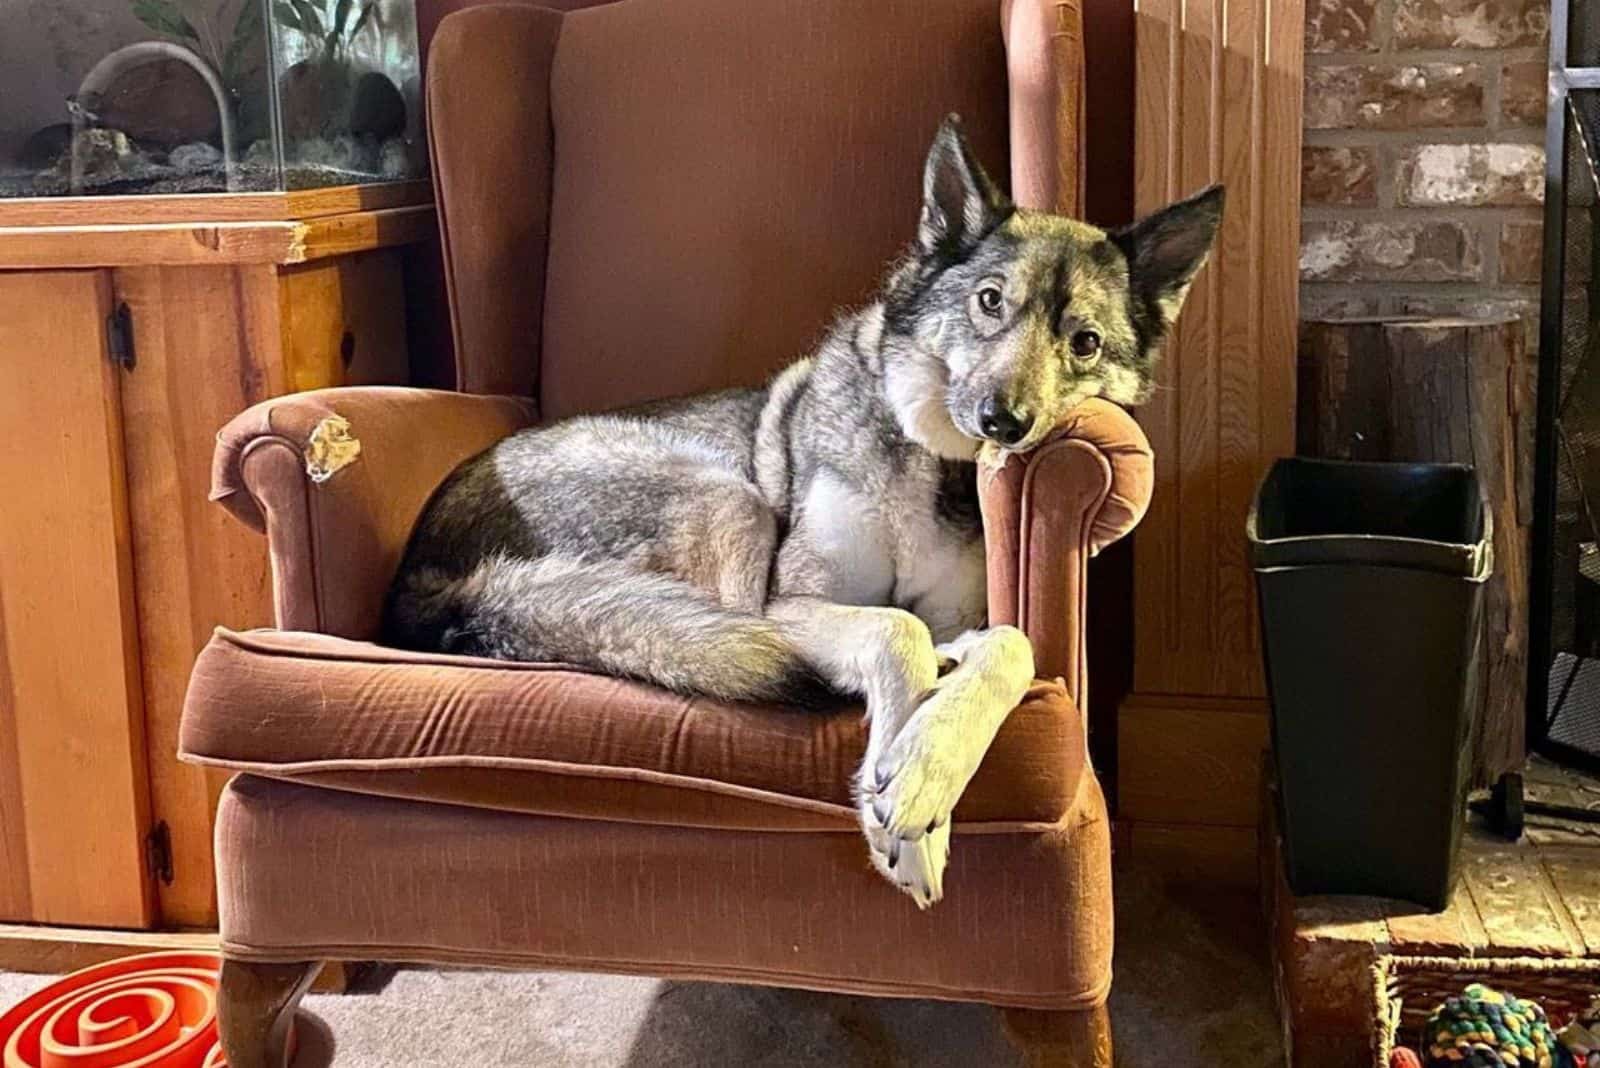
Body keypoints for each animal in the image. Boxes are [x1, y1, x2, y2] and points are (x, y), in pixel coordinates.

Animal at [387, 116, 1222, 908]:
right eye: (990, 302)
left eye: (1084, 343)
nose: (1003, 421)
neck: (929, 463)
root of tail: (427, 579)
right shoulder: (790, 606)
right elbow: (898, 631)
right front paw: (906, 799)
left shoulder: (968, 619)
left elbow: (1006, 645)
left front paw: (926, 763)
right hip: (730, 502)